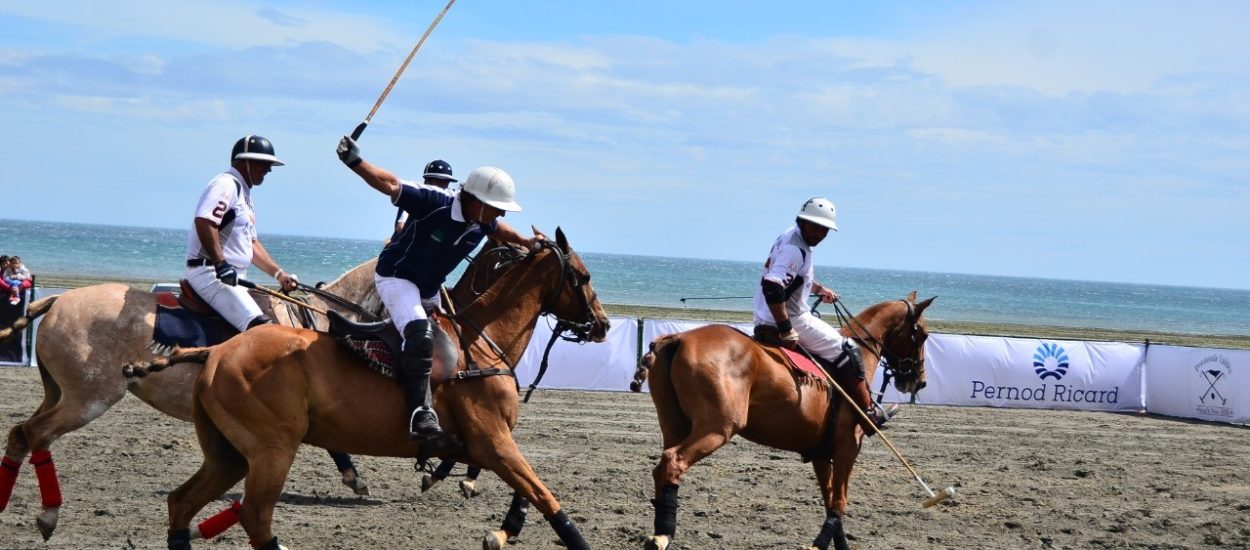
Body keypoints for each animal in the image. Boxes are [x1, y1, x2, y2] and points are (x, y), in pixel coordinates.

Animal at [0, 260, 382, 540]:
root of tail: (58, 300)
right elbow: (334, 447)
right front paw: (355, 478)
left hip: (58, 393)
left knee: (21, 433)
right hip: (89, 397)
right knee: (37, 433)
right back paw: (49, 514)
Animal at [134, 227, 607, 550]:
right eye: (583, 277)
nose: (601, 324)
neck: (480, 342)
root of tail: (216, 351)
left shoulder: (481, 445)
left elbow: (525, 491)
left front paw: (501, 529)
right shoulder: (491, 441)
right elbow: (542, 493)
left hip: (229, 455)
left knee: (181, 502)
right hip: (272, 450)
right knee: (253, 515)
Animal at [630, 292, 935, 550]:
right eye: (922, 335)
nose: (919, 381)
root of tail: (678, 338)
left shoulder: (821, 454)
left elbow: (829, 500)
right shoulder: (848, 447)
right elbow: (839, 501)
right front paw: (817, 544)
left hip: (673, 423)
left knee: (661, 467)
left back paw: (658, 531)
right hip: (718, 426)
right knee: (673, 461)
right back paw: (663, 535)